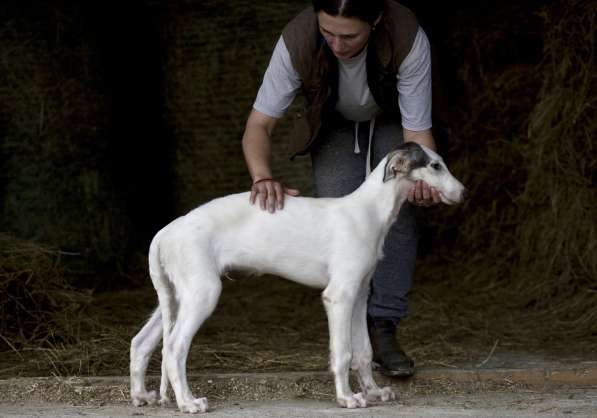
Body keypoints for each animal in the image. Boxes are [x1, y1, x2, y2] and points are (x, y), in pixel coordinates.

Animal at [130, 140, 466, 412]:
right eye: (435, 166)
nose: (463, 194)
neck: (368, 211)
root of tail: (166, 231)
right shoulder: (339, 296)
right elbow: (343, 352)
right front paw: (347, 398)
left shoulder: (359, 295)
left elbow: (363, 352)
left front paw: (372, 392)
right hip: (203, 293)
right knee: (174, 347)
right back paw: (188, 402)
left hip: (177, 296)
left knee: (141, 342)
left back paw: (141, 396)